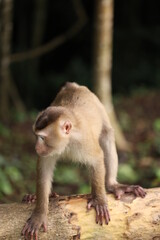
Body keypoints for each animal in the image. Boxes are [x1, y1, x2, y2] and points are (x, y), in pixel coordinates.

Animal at [21, 82, 146, 238]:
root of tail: (73, 86)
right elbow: (43, 169)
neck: (67, 141)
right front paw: (39, 213)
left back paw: (112, 184)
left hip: (99, 105)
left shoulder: (84, 141)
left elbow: (97, 158)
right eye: (36, 136)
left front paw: (99, 200)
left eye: (42, 138)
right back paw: (44, 195)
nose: (36, 147)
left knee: (107, 136)